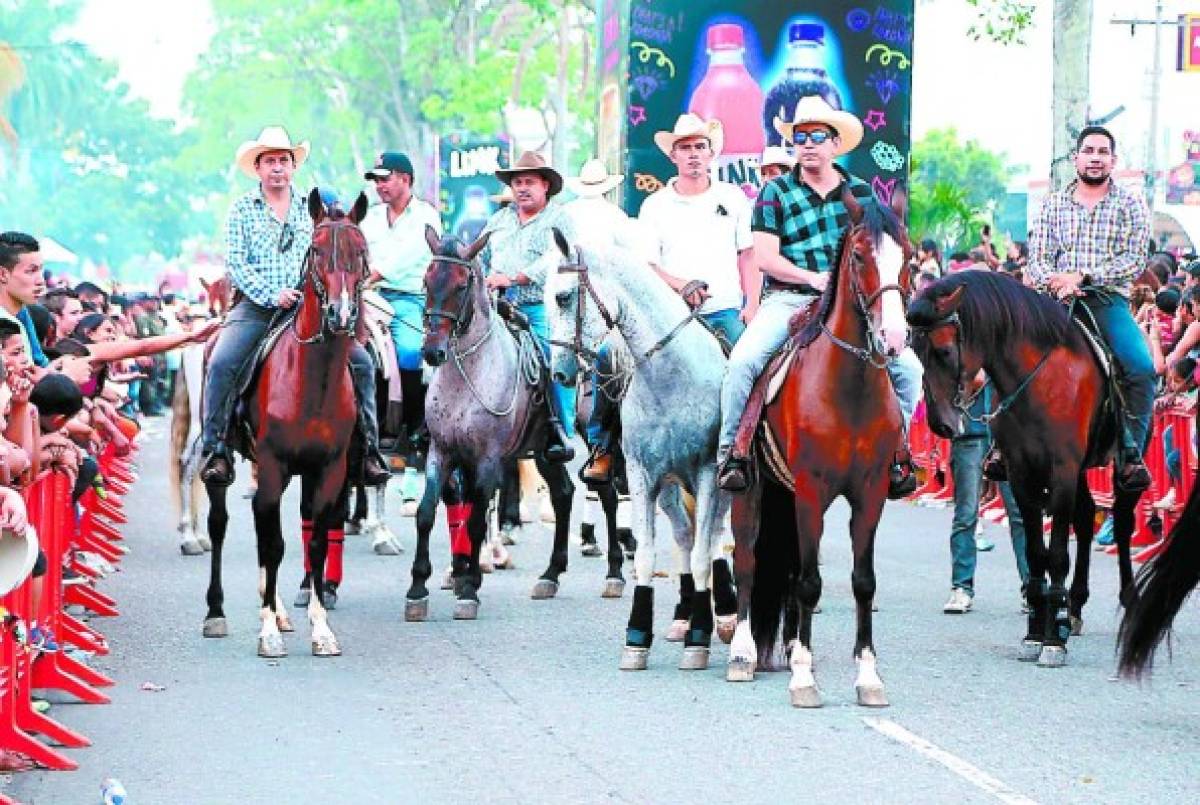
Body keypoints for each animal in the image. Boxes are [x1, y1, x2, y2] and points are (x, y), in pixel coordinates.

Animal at [201, 191, 369, 657]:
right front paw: (267, 634)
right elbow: (272, 544)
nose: (341, 315)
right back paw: (216, 613)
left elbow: (315, 540)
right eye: (316, 250)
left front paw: (320, 628)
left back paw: (276, 609)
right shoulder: (275, 464)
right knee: (220, 526)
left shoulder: (328, 469)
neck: (312, 380)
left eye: (361, 251)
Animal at [408, 226, 576, 623]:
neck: (468, 375)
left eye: (461, 285)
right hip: (540, 454)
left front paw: (469, 590)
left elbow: (475, 519)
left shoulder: (487, 459)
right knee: (563, 494)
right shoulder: (442, 452)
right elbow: (427, 513)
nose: (432, 351)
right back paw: (549, 575)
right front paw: (419, 589)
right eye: (426, 281)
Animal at [547, 230, 729, 671]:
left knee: (715, 537)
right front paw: (637, 637)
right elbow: (647, 554)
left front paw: (700, 639)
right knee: (684, 534)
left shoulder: (707, 474)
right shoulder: (644, 476)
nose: (558, 371)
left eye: (563, 296)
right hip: (669, 488)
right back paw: (683, 616)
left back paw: (726, 616)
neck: (670, 375)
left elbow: (704, 554)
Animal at [724, 193, 912, 705]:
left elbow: (863, 582)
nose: (894, 338)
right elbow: (809, 583)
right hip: (752, 492)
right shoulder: (812, 490)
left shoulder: (870, 493)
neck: (850, 388)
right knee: (747, 561)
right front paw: (804, 679)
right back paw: (743, 654)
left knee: (786, 568)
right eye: (861, 256)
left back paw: (788, 647)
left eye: (908, 256)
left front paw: (868, 676)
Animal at [912, 271, 1137, 667]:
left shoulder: (1061, 471)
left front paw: (1054, 639)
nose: (940, 424)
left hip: (1116, 468)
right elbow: (1035, 554)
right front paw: (1037, 630)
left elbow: (1057, 554)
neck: (1039, 380)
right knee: (1086, 516)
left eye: (944, 351)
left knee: (1122, 523)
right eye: (914, 350)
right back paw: (1074, 608)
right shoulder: (1021, 474)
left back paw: (1125, 601)